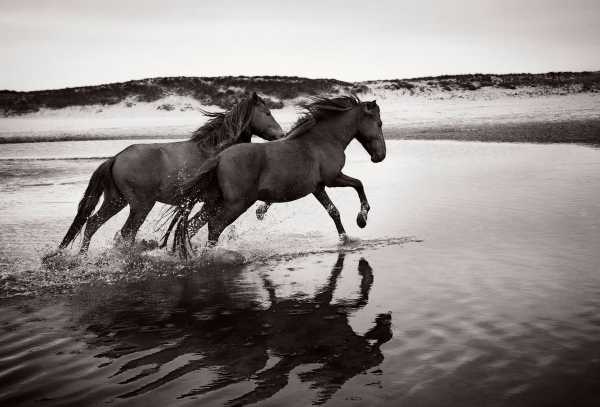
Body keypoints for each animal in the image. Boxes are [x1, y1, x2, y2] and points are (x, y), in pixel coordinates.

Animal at [58, 93, 284, 253]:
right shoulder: (216, 200)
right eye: (267, 113)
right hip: (140, 206)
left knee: (92, 224)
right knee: (126, 233)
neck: (215, 152)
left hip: (115, 201)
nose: (281, 134)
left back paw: (82, 257)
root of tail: (116, 158)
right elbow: (204, 225)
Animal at [171, 95, 386, 255]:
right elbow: (359, 184)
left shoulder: (318, 187)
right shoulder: (333, 178)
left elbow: (333, 211)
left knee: (192, 225)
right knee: (214, 226)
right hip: (236, 204)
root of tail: (219, 157)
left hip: (215, 202)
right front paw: (362, 219)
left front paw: (345, 238)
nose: (380, 156)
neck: (323, 139)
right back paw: (210, 255)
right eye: (379, 123)